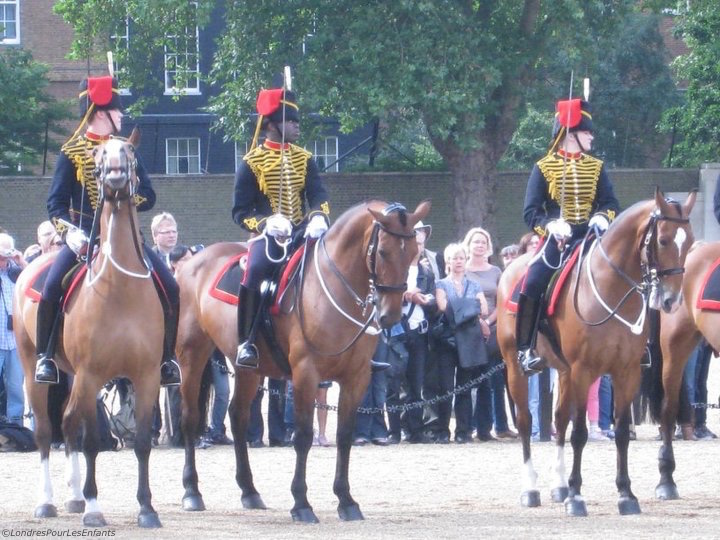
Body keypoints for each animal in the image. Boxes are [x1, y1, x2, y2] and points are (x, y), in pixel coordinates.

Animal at [13, 131, 165, 528]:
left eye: (129, 150)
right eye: (98, 153)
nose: (114, 174)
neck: (120, 290)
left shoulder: (146, 377)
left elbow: (142, 442)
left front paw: (147, 508)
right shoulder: (92, 374)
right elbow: (94, 441)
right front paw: (96, 509)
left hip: (72, 377)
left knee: (68, 425)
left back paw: (75, 497)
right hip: (36, 370)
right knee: (47, 430)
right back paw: (48, 501)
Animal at [177, 199, 430, 524]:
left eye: (412, 253)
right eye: (383, 251)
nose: (390, 315)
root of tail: (192, 261)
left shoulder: (357, 377)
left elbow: (344, 436)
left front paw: (346, 501)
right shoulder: (305, 374)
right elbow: (303, 436)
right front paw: (301, 503)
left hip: (248, 369)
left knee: (238, 415)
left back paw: (249, 491)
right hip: (192, 354)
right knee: (190, 417)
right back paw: (192, 492)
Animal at [498, 190, 696, 516]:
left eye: (690, 242)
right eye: (664, 240)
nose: (671, 300)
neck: (612, 288)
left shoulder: (626, 372)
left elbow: (621, 431)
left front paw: (626, 495)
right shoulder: (583, 370)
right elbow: (580, 433)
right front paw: (577, 498)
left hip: (563, 370)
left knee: (559, 420)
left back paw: (559, 486)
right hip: (516, 367)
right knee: (526, 421)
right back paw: (531, 488)